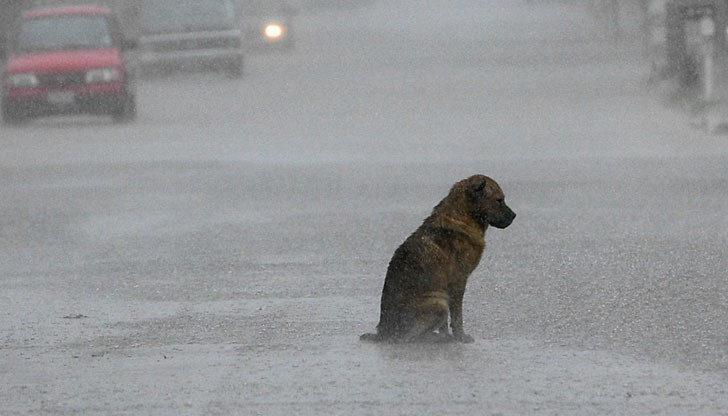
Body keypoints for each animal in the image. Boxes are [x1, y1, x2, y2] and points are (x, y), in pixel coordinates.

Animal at [362, 176, 516, 344]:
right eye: (499, 200)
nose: (514, 216)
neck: (462, 218)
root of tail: (383, 332)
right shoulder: (458, 282)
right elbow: (457, 316)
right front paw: (460, 336)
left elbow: (446, 323)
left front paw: (448, 334)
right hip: (438, 304)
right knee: (408, 337)